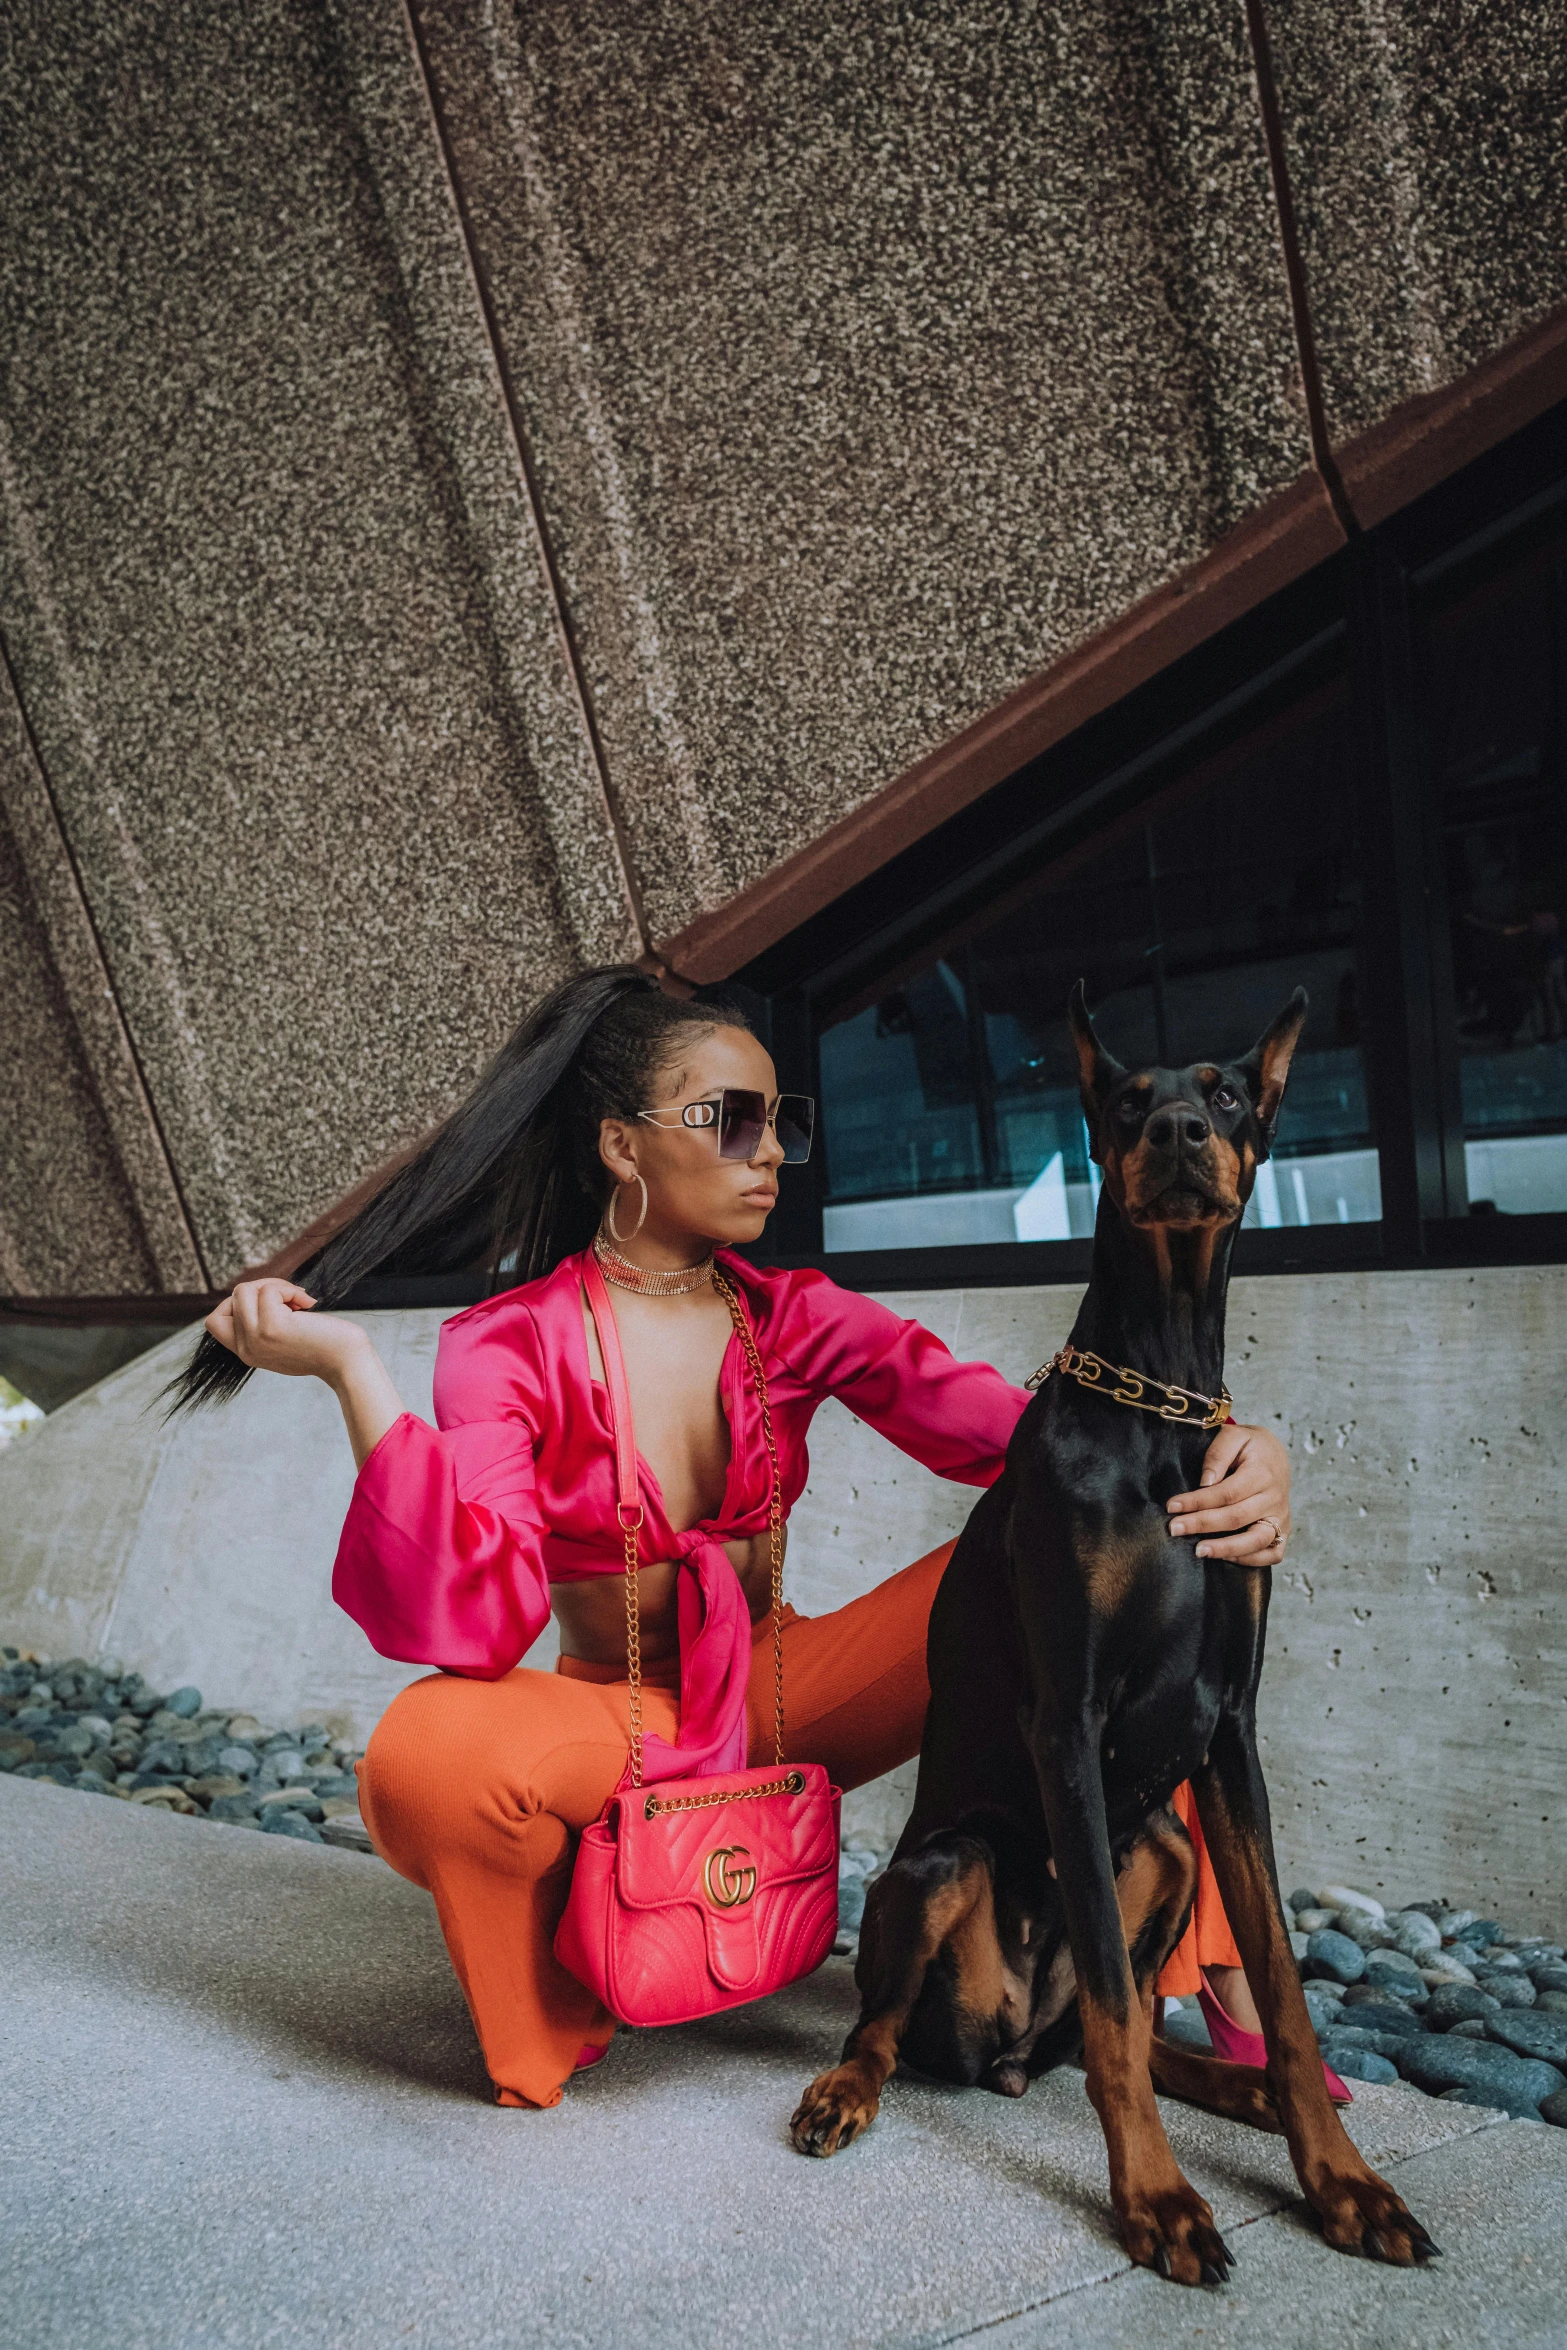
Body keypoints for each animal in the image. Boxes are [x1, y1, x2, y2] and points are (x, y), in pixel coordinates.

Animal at [789, 996, 1437, 2293]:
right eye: (1127, 1102)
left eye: (1226, 1093)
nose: (1181, 1130)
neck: (1164, 1403)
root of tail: (1010, 2050)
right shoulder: (1068, 1722)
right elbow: (1100, 1980)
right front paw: (1156, 2201)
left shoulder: (1229, 1729)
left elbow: (1281, 1985)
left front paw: (1341, 2181)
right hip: (947, 1864)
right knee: (905, 2024)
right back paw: (845, 2088)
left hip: (1169, 1851)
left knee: (1127, 2026)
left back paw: (1237, 2086)